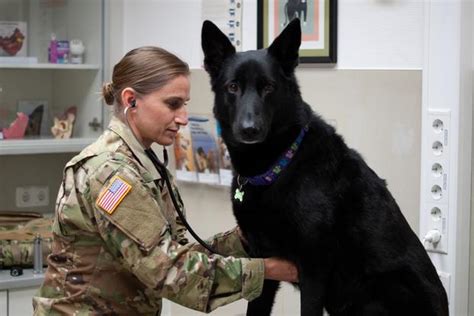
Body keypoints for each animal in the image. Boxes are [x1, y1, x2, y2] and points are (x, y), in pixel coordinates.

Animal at [200, 19, 448, 316]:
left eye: (269, 87)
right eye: (233, 87)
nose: (250, 130)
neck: (278, 166)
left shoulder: (314, 267)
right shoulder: (262, 262)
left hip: (376, 291)